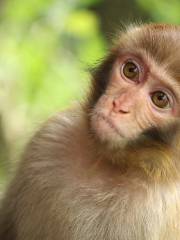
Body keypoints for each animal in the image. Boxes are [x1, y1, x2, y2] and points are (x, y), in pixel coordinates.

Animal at [0, 23, 180, 240]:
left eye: (160, 98)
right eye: (131, 70)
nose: (119, 105)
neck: (104, 162)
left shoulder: (154, 213)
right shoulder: (50, 136)